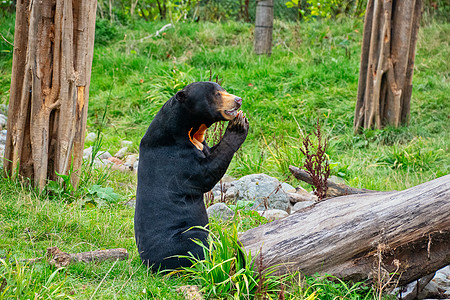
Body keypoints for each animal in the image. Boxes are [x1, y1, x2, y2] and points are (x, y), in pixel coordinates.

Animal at [134, 81, 250, 270]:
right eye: (216, 94)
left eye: (223, 90)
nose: (238, 100)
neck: (191, 131)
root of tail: (150, 263)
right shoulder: (177, 159)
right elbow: (206, 174)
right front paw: (239, 125)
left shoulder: (200, 144)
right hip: (185, 237)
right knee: (199, 247)